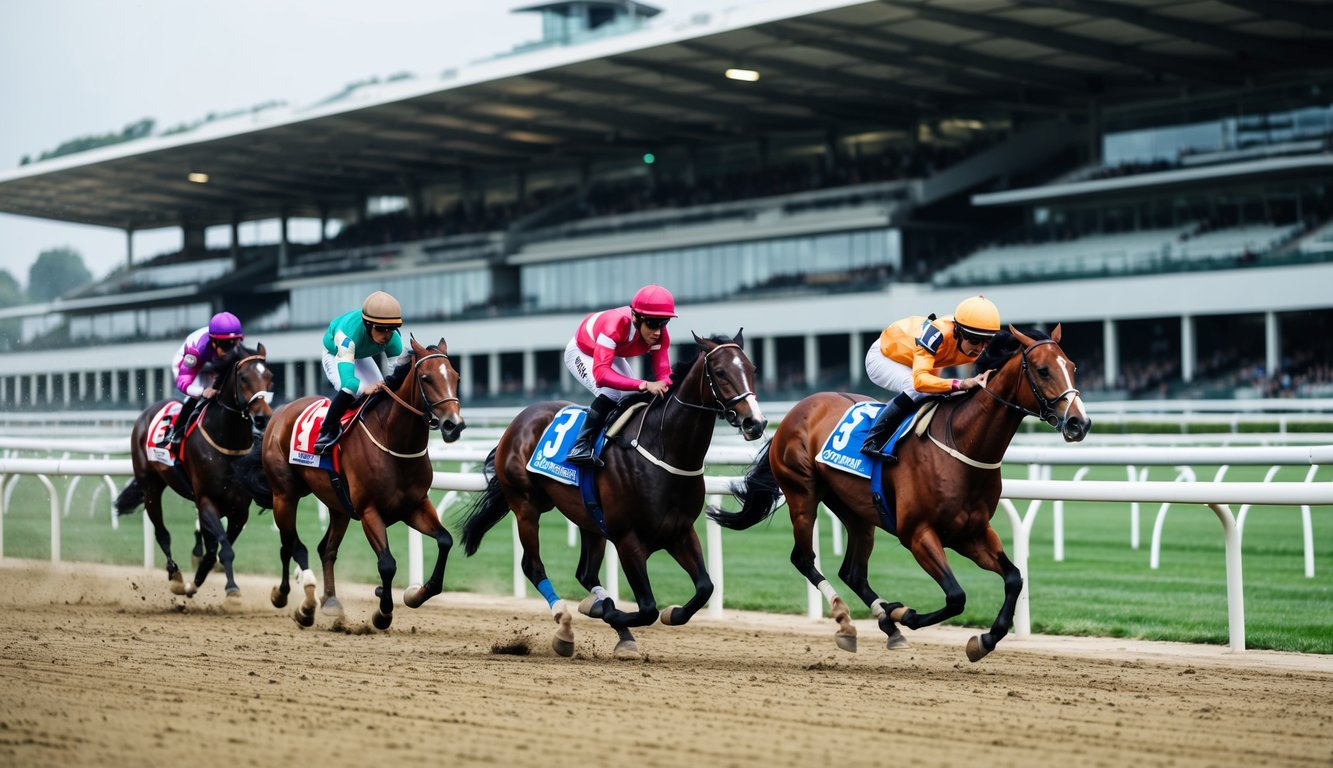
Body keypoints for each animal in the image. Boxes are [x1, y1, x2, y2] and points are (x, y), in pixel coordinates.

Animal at [114, 341, 273, 600]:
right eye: (243, 377)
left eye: (269, 377)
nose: (262, 418)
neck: (227, 441)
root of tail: (147, 412)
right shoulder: (207, 500)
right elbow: (224, 549)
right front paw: (231, 589)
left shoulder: (239, 510)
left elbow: (217, 549)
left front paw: (198, 580)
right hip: (150, 486)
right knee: (162, 533)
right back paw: (175, 576)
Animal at [253, 336, 463, 629]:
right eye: (426, 378)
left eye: (456, 377)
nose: (453, 425)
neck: (393, 441)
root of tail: (281, 412)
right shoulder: (368, 511)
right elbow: (387, 563)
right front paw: (383, 612)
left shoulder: (415, 506)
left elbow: (445, 540)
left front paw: (416, 594)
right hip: (284, 495)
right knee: (289, 544)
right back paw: (289, 598)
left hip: (337, 504)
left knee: (325, 549)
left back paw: (330, 601)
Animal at [461, 333, 767, 656]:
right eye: (720, 372)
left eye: (752, 368)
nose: (755, 423)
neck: (664, 449)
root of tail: (519, 419)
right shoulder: (627, 539)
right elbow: (647, 608)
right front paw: (609, 612)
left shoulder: (680, 532)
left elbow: (705, 588)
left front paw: (666, 613)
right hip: (526, 505)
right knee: (532, 565)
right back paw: (565, 622)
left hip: (588, 518)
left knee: (585, 573)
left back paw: (610, 620)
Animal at [714, 324, 1087, 661]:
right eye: (1043, 370)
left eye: (1072, 366)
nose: (1079, 423)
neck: (961, 441)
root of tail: (796, 411)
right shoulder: (918, 533)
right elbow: (956, 596)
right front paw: (904, 613)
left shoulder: (972, 532)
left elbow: (1013, 578)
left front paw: (985, 639)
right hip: (802, 492)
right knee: (804, 558)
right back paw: (849, 621)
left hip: (856, 509)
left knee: (852, 572)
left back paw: (888, 625)